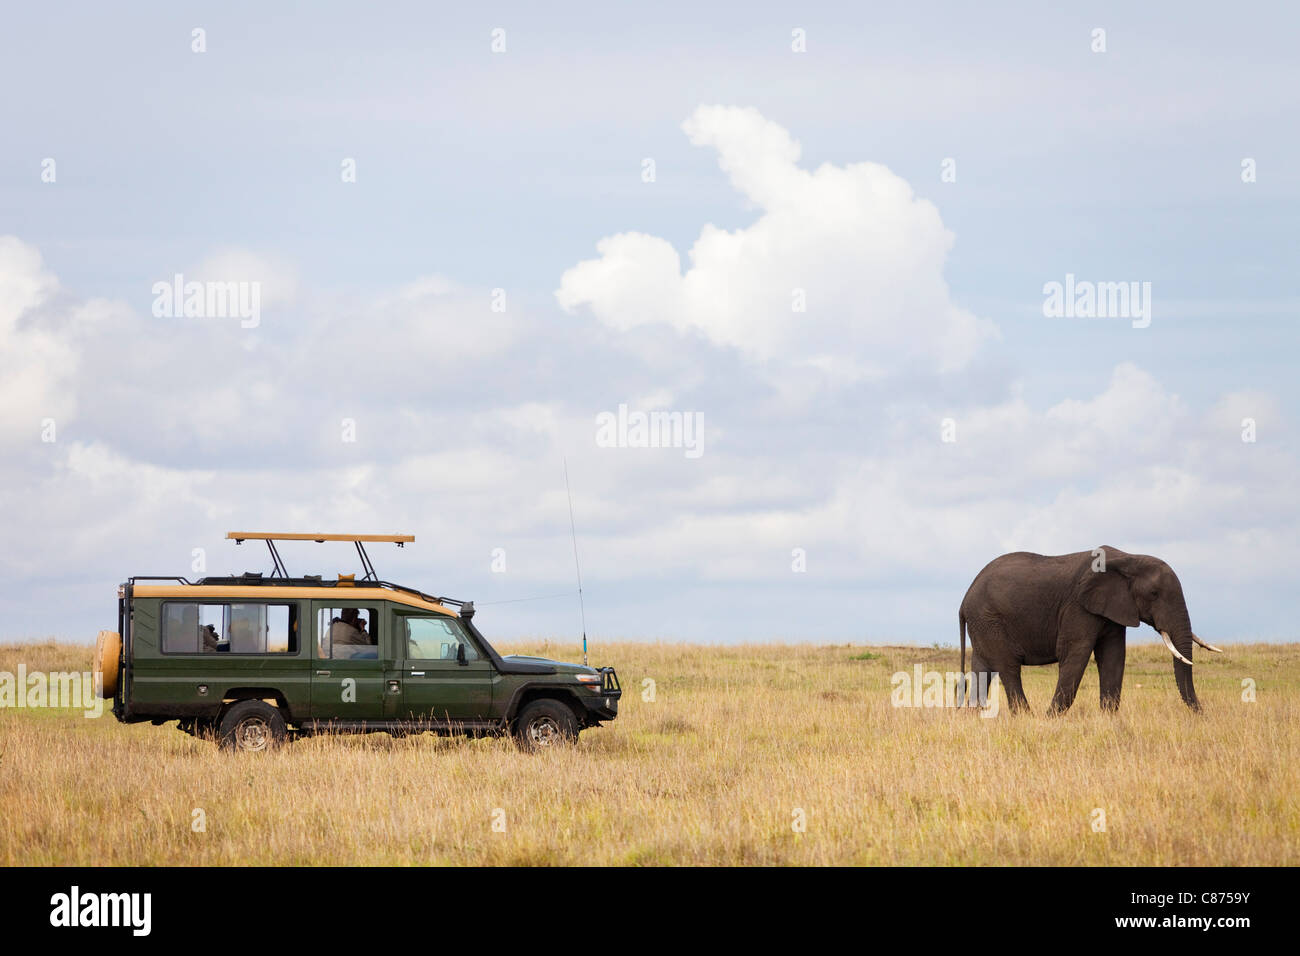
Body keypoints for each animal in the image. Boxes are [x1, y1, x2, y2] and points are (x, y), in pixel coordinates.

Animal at [956, 548, 1216, 712]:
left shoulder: (1113, 610)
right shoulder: (1078, 607)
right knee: (1008, 667)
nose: (1202, 714)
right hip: (989, 618)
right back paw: (1026, 716)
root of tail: (965, 598)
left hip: (983, 622)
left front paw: (1108, 718)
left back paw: (975, 715)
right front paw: (1051, 718)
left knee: (983, 667)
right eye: (1154, 594)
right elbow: (1075, 654)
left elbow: (1113, 657)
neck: (1128, 558)